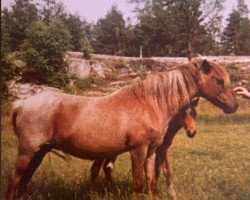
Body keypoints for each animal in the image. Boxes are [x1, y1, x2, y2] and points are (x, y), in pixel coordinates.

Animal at [6, 59, 236, 200]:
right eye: (218, 80)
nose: (233, 106)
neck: (149, 103)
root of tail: (22, 104)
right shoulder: (137, 150)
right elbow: (138, 183)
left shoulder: (152, 151)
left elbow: (151, 182)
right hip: (27, 151)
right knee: (15, 180)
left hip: (39, 152)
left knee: (24, 181)